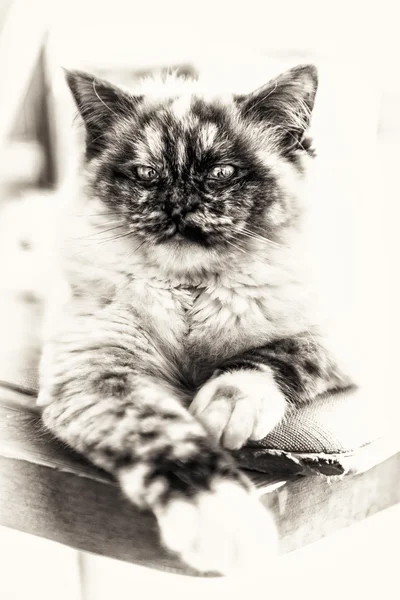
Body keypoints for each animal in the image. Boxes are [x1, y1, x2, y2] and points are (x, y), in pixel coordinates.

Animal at [36, 63, 350, 576]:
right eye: (146, 174)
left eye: (221, 174)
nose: (177, 203)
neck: (189, 290)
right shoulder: (103, 372)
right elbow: (172, 445)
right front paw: (223, 524)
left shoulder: (333, 335)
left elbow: (264, 359)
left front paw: (223, 410)